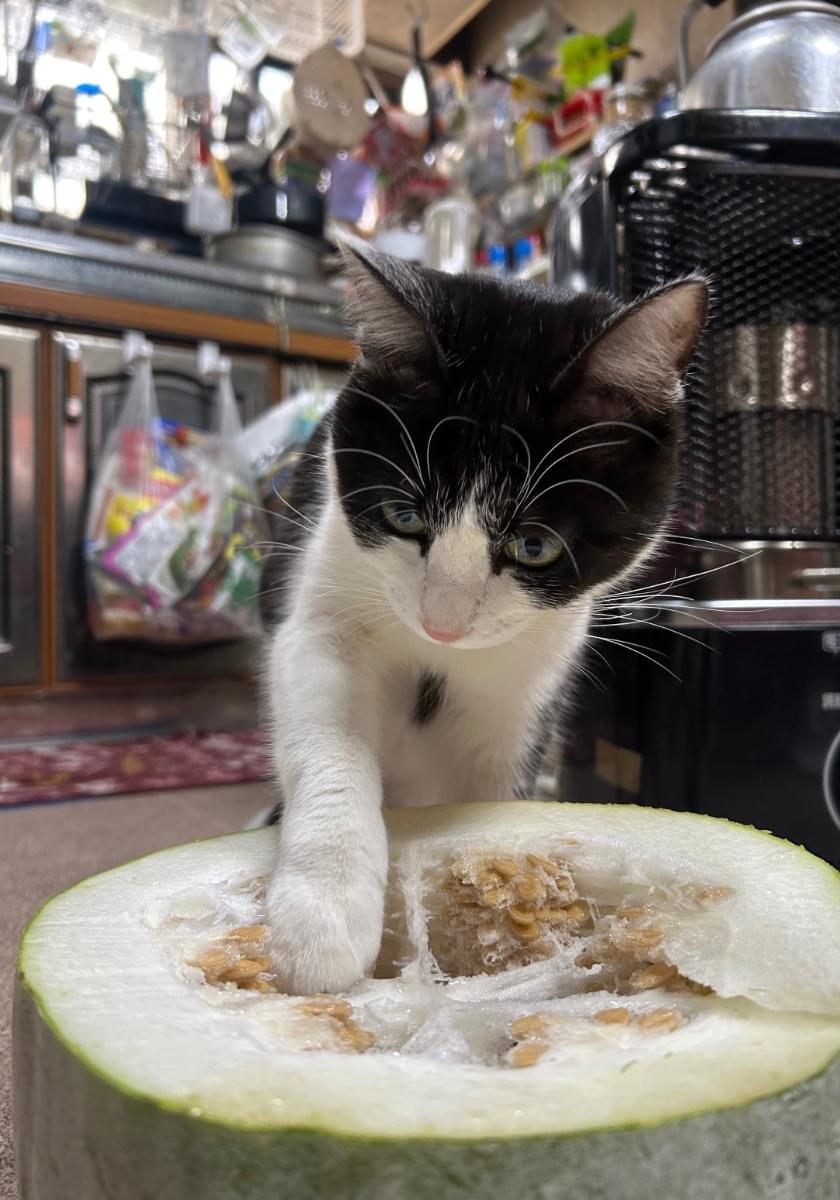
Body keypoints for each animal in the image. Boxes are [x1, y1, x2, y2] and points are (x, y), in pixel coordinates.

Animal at [261, 237, 707, 995]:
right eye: (403, 516)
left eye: (534, 546)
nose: (443, 623)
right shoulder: (325, 606)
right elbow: (327, 731)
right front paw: (322, 915)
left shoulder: (528, 678)